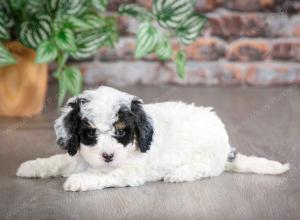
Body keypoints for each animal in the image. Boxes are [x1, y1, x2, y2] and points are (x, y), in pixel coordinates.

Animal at [15, 86, 288, 191]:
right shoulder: (77, 157)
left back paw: (179, 174)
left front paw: (81, 180)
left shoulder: (130, 171)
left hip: (206, 157)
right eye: (91, 132)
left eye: (121, 131)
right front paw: (32, 166)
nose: (108, 155)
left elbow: (105, 173)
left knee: (205, 169)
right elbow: (58, 160)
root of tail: (226, 147)